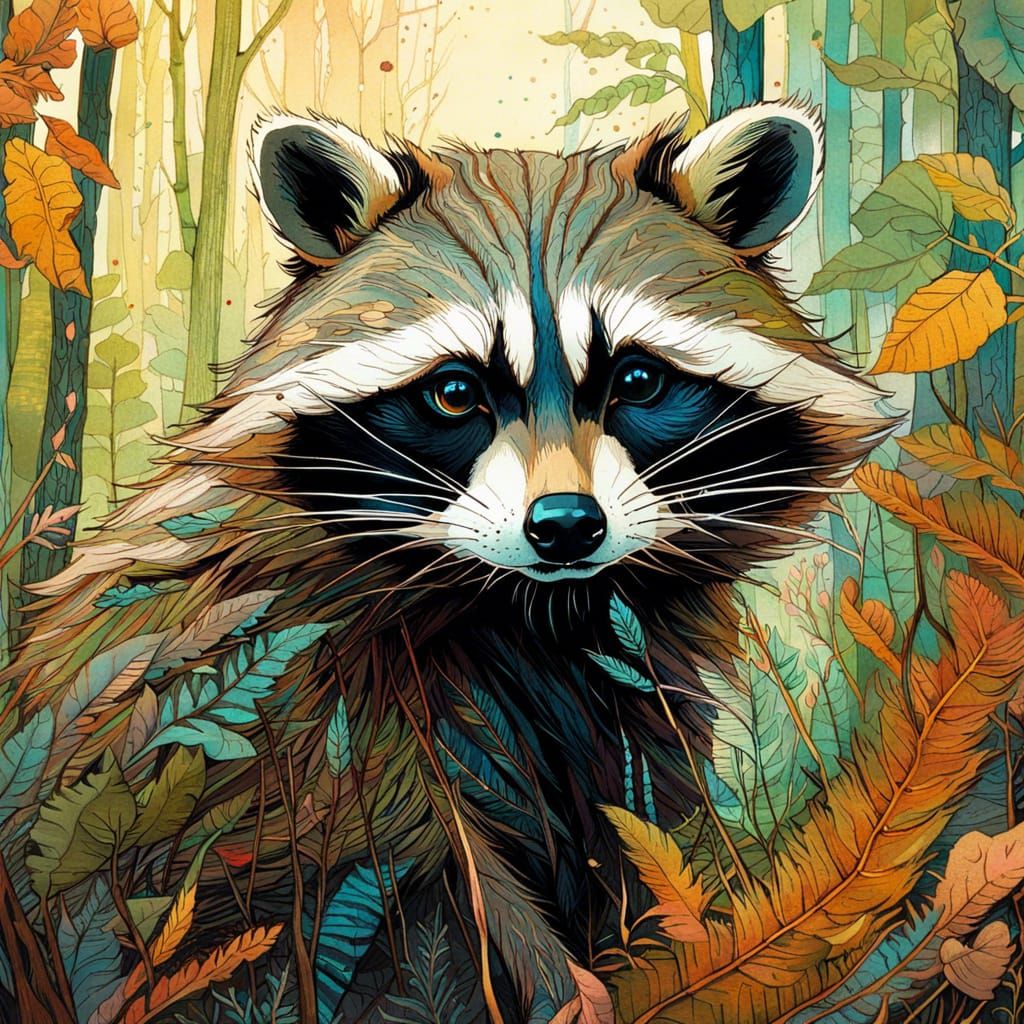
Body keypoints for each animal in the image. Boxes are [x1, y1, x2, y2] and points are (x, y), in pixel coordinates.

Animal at [9, 100, 890, 1021]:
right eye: (456, 393)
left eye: (638, 381)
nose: (566, 526)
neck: (536, 611)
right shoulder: (300, 700)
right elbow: (404, 855)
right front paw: (557, 982)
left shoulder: (635, 684)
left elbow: (636, 817)